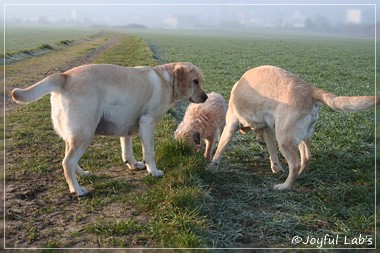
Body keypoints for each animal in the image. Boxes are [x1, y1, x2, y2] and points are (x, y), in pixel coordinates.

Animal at [11, 61, 208, 196]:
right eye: (195, 81)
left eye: (201, 81)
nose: (206, 97)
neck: (167, 80)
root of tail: (64, 76)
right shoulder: (147, 122)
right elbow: (149, 153)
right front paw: (153, 171)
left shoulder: (127, 126)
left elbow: (127, 150)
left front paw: (133, 164)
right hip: (85, 133)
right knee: (67, 162)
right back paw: (77, 190)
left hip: (74, 135)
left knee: (70, 159)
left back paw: (83, 174)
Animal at [209, 65, 378, 190]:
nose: (260, 142)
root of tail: (311, 90)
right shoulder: (268, 130)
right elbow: (273, 152)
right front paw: (276, 167)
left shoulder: (231, 125)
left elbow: (220, 149)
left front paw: (212, 167)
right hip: (302, 136)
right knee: (306, 157)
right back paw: (300, 176)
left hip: (284, 138)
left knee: (295, 164)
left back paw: (285, 186)